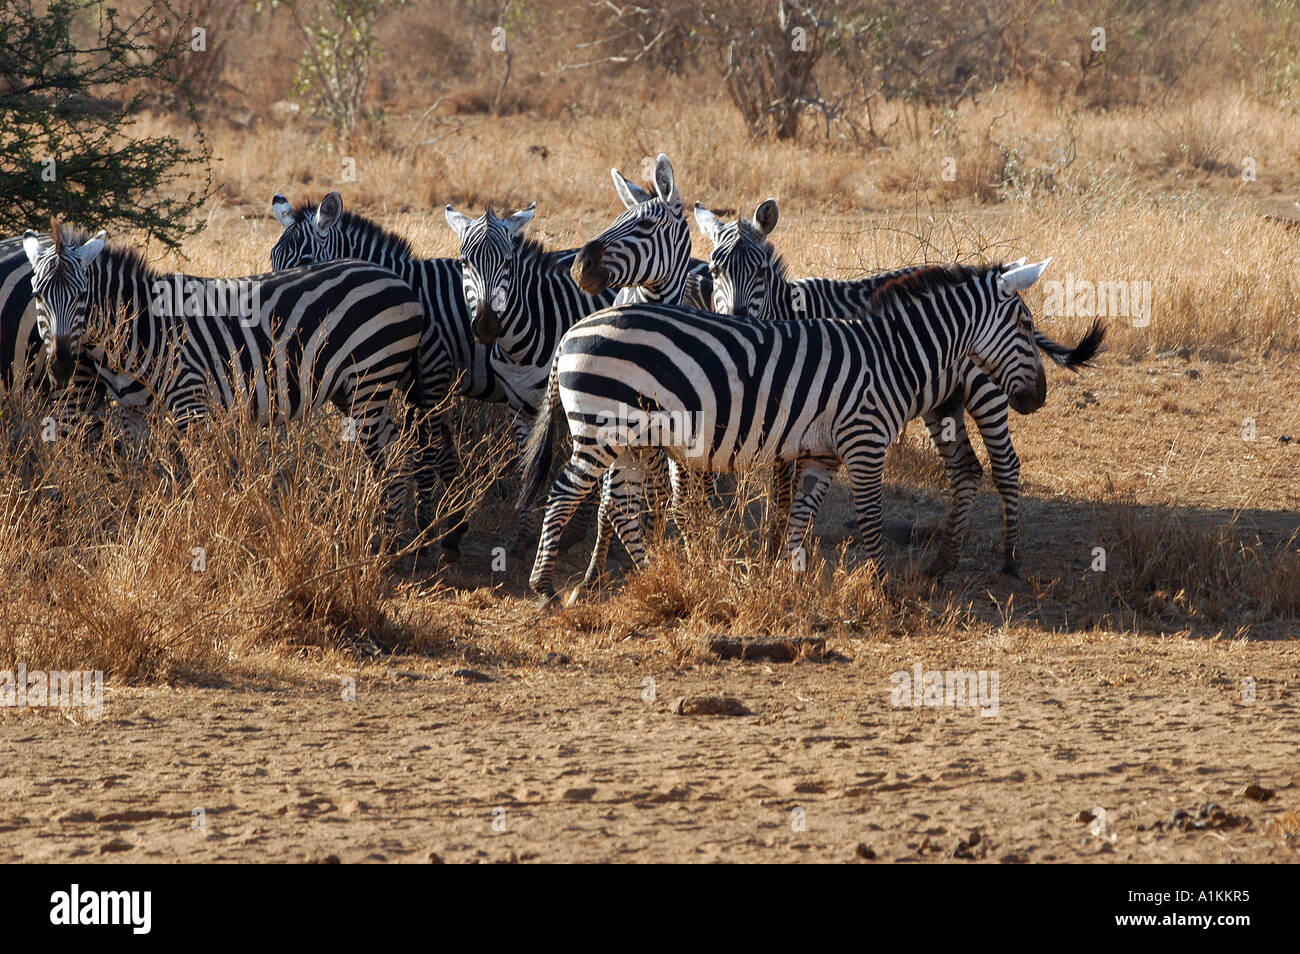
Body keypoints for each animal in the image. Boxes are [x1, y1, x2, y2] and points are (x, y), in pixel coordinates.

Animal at [21, 220, 426, 527]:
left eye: (82, 295)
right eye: (37, 294)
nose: (61, 363)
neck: (143, 327)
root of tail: (400, 282)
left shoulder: (190, 401)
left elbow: (203, 477)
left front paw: (207, 532)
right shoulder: (134, 413)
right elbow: (138, 476)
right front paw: (136, 528)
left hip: (369, 381)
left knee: (388, 460)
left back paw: (382, 541)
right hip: (353, 389)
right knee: (400, 454)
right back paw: (395, 538)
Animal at [512, 259, 1102, 605]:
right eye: (1025, 325)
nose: (1037, 398)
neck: (891, 356)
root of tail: (572, 332)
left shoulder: (824, 454)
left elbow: (799, 516)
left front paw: (787, 578)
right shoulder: (864, 444)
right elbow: (870, 520)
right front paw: (883, 590)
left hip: (629, 440)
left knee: (622, 505)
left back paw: (652, 574)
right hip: (601, 429)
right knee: (566, 492)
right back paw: (545, 588)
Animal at [696, 201, 1102, 574]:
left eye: (761, 270)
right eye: (714, 270)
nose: (737, 320)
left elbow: (788, 490)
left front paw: (780, 551)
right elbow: (785, 491)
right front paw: (776, 550)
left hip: (987, 392)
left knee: (1005, 466)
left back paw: (1010, 558)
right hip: (943, 404)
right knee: (966, 469)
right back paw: (944, 561)